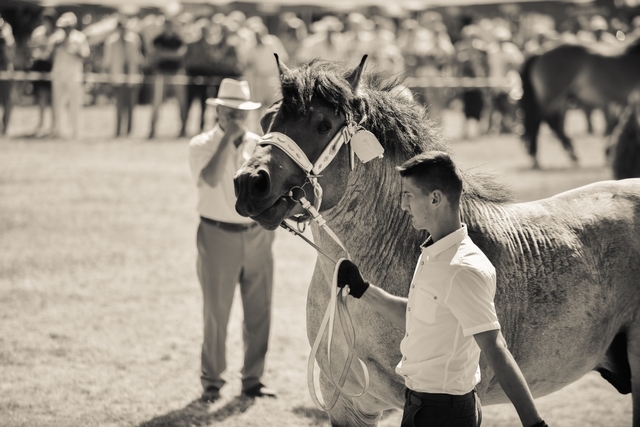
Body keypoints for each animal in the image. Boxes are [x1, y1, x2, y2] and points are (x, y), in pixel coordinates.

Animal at [520, 35, 640, 169]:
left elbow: (616, 124)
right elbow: (617, 124)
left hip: (559, 98)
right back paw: (537, 156)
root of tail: (539, 52)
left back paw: (571, 154)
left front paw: (609, 152)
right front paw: (609, 153)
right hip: (553, 95)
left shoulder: (621, 101)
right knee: (540, 119)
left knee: (550, 120)